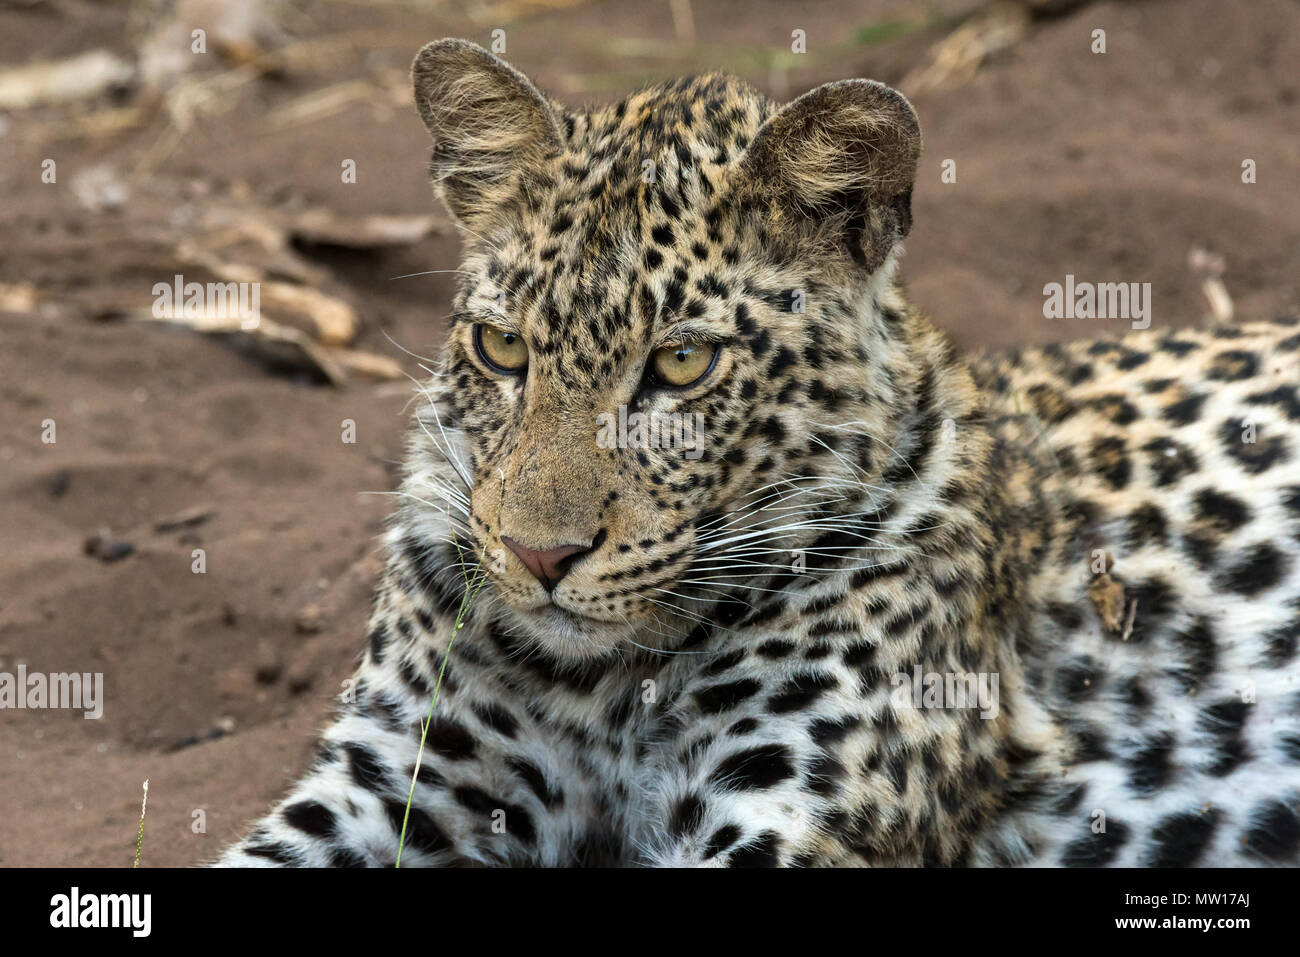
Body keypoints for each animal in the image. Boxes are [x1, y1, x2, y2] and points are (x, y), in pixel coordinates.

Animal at [215, 37, 1300, 863]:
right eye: (503, 349)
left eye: (682, 363)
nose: (538, 557)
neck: (602, 689)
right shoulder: (396, 777)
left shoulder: (782, 809)